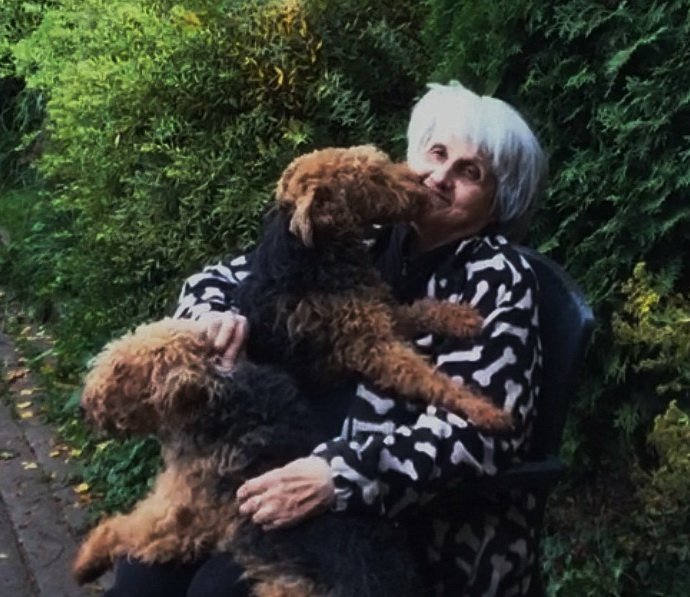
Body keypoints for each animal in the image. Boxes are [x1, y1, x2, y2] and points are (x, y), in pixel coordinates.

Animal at [72, 318, 422, 596]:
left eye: (121, 369)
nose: (83, 408)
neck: (217, 406)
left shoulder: (180, 513)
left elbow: (122, 527)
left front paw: (85, 562)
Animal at [235, 145, 511, 431]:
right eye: (374, 178)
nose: (421, 182)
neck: (318, 255)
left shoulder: (380, 313)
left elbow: (422, 309)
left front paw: (463, 317)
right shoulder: (370, 346)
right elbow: (426, 377)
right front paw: (485, 410)